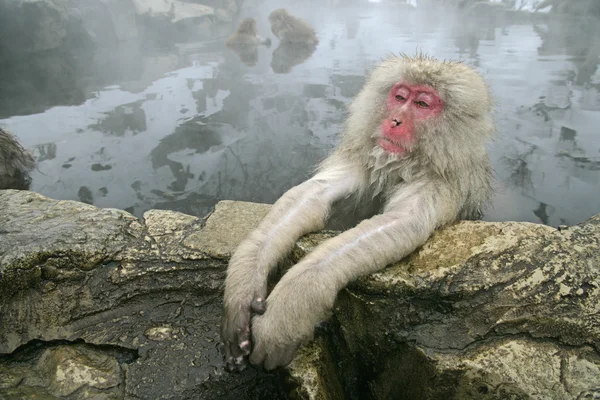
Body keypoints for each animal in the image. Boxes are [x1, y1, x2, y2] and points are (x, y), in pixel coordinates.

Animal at [219, 54, 492, 370]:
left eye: (423, 104)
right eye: (400, 97)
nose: (394, 120)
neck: (403, 166)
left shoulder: (442, 183)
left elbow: (402, 222)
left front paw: (289, 307)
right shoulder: (365, 157)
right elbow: (311, 195)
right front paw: (243, 288)